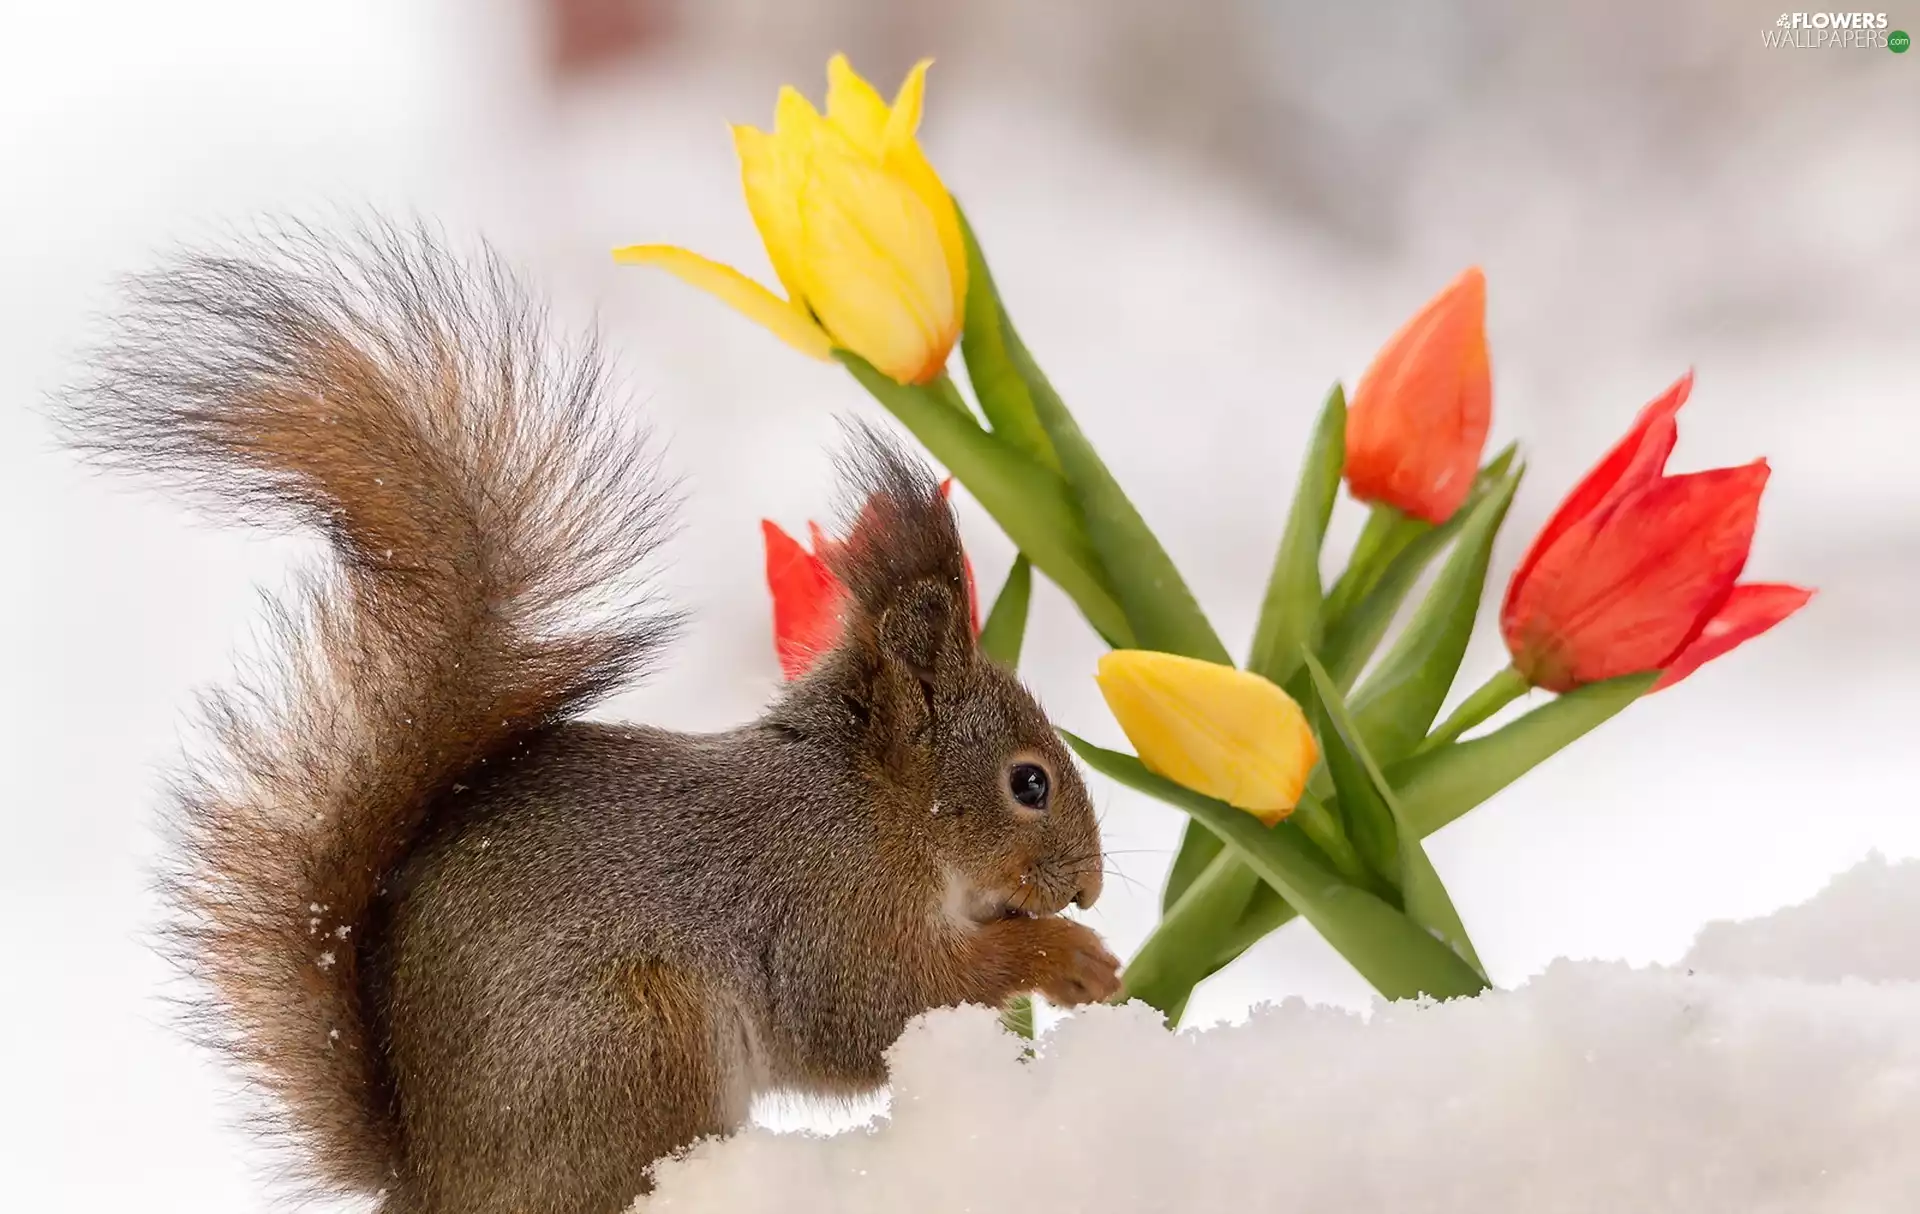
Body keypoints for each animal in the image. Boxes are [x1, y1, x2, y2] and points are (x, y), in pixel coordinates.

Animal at [60, 224, 1122, 1214]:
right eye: (1029, 782)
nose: (1091, 887)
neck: (878, 805)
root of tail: (434, 1182)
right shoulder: (829, 907)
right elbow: (878, 1010)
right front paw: (1065, 959)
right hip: (640, 1040)